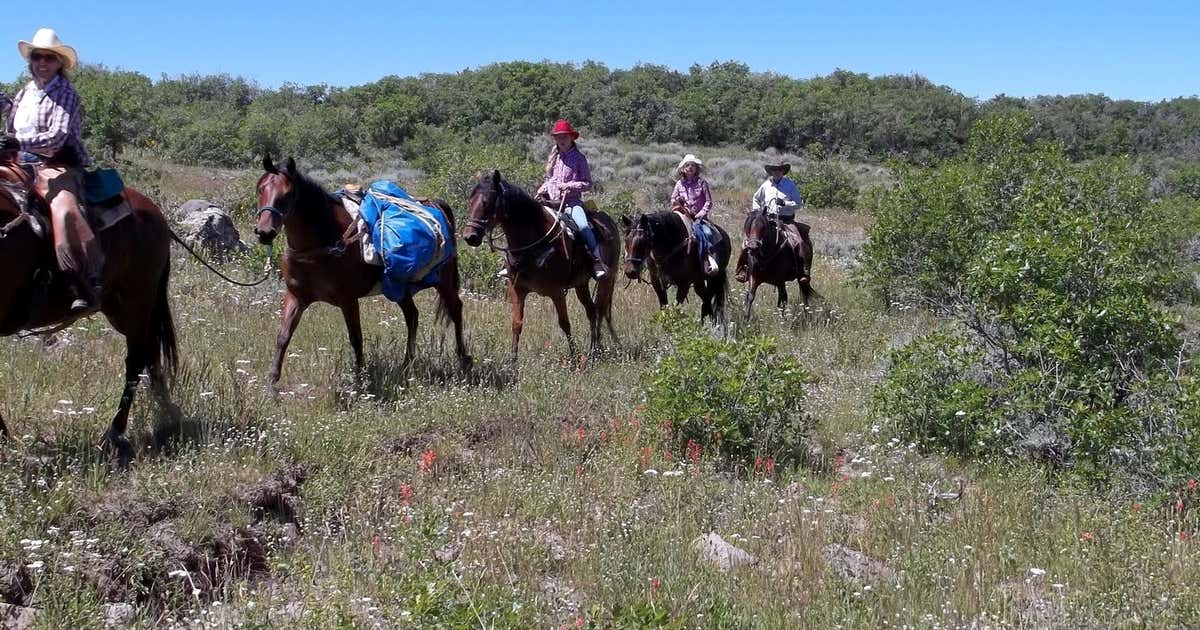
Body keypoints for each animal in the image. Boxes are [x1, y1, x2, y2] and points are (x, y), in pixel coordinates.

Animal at [0, 161, 178, 464]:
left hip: (136, 302)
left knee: (136, 360)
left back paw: (115, 433)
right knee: (150, 355)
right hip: (123, 309)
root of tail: (154, 211)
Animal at [253, 156, 470, 394]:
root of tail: (436, 205)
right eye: (260, 189)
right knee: (412, 316)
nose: (265, 232)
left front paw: (361, 379)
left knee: (455, 309)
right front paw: (271, 382)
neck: (320, 245)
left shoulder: (348, 300)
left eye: (288, 194)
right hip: (399, 288)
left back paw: (463, 359)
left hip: (444, 281)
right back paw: (407, 364)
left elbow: (356, 338)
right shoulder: (295, 297)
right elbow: (283, 336)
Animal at [462, 170, 619, 359]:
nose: (470, 237)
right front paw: (512, 361)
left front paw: (574, 358)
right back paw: (593, 349)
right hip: (581, 284)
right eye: (470, 200)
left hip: (606, 281)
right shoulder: (517, 290)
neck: (533, 242)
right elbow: (517, 324)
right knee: (592, 310)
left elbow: (564, 323)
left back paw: (594, 350)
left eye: (487, 202)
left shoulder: (557, 292)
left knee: (600, 310)